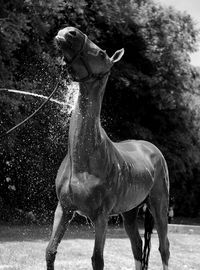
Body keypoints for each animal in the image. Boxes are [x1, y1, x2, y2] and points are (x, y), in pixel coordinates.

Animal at [46, 25, 170, 270]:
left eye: (102, 54)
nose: (69, 32)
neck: (83, 159)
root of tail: (151, 149)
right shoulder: (64, 209)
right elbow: (51, 252)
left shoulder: (101, 216)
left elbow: (98, 259)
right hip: (130, 212)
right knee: (137, 246)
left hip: (159, 205)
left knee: (164, 248)